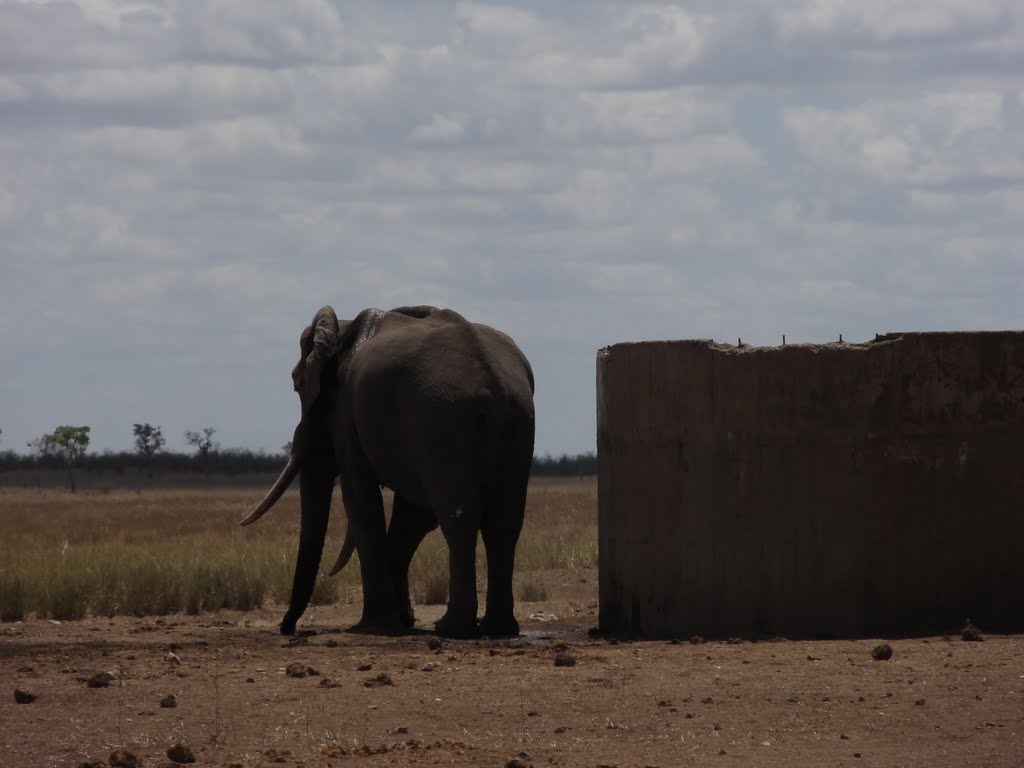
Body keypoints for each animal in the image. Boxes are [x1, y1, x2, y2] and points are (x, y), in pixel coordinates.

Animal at [239, 303, 536, 638]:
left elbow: (360, 498)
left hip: (445, 422)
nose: (288, 628)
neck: (341, 330)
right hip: (517, 421)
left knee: (459, 518)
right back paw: (497, 628)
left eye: (297, 385)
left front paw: (374, 626)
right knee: (504, 521)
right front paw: (403, 621)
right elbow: (415, 514)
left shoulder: (349, 415)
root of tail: (492, 381)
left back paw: (452, 628)